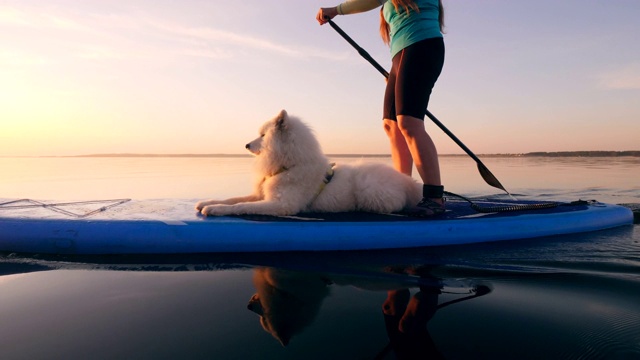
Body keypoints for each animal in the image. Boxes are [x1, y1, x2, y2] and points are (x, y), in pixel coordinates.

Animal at [198, 109, 422, 217]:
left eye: (262, 135)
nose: (246, 145)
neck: (289, 165)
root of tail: (409, 183)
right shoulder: (261, 194)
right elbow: (233, 198)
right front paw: (207, 202)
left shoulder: (283, 204)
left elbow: (241, 205)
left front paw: (215, 209)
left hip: (370, 191)